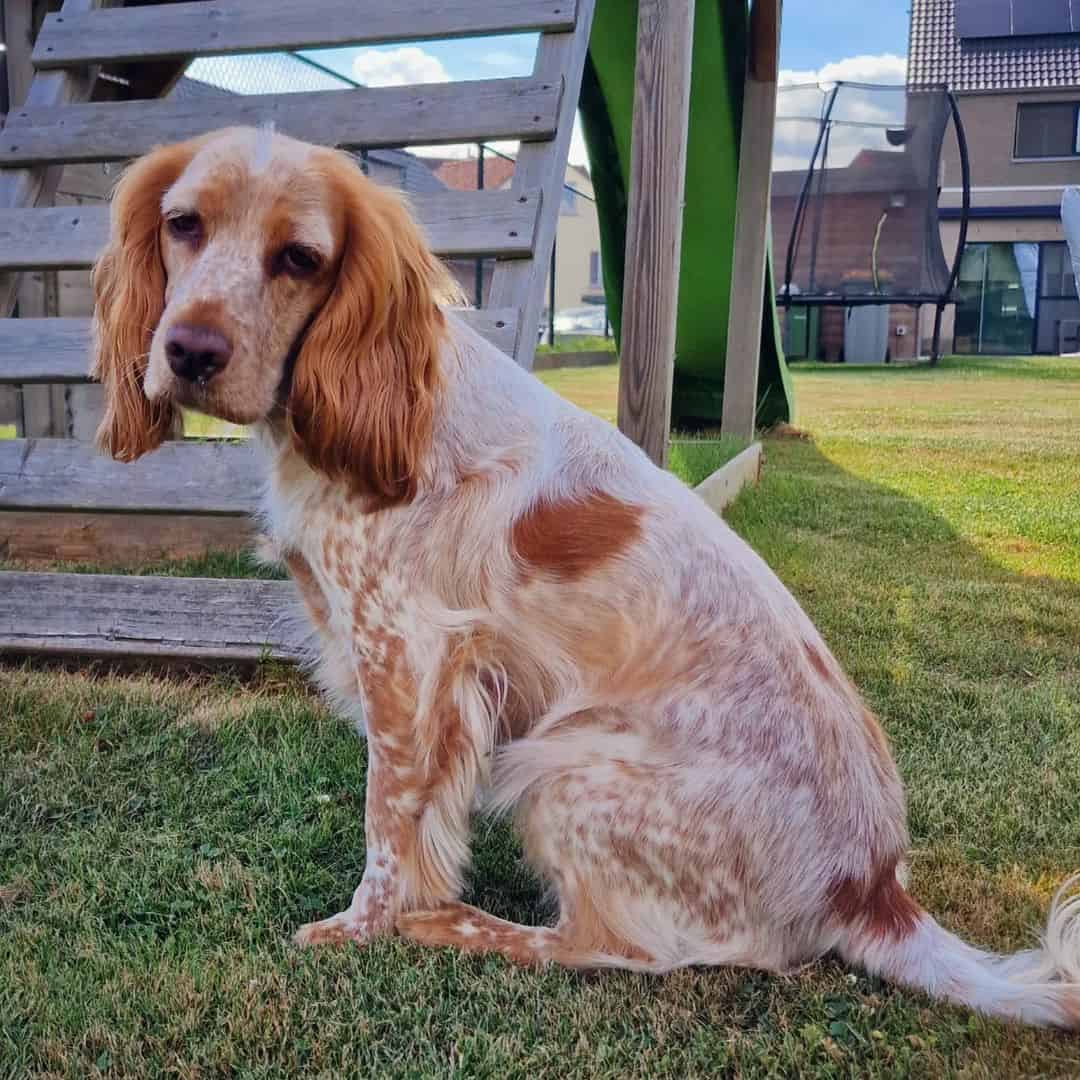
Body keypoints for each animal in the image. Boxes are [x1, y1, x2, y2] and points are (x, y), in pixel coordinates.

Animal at [95, 128, 1080, 1028]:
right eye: (183, 225)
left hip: (563, 767)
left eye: (300, 257)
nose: (189, 352)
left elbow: (389, 821)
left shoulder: (409, 656)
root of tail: (874, 888)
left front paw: (364, 926)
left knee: (624, 950)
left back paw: (462, 927)